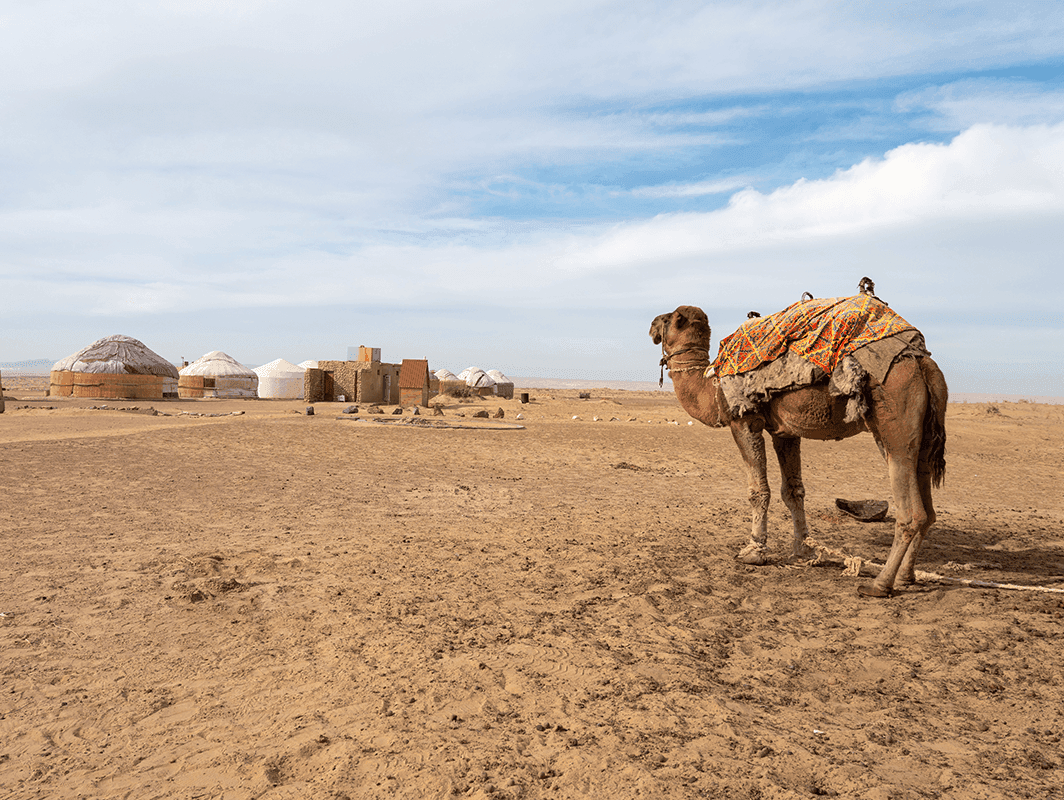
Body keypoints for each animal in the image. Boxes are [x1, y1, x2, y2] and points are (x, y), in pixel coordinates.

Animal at [649, 303, 947, 597]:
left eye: (668, 318)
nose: (652, 325)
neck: (711, 387)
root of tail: (923, 364)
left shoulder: (744, 421)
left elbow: (759, 490)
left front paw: (754, 551)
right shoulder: (785, 432)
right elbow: (793, 491)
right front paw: (803, 549)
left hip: (894, 421)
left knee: (911, 512)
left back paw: (879, 584)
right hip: (923, 435)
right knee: (927, 509)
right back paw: (906, 577)